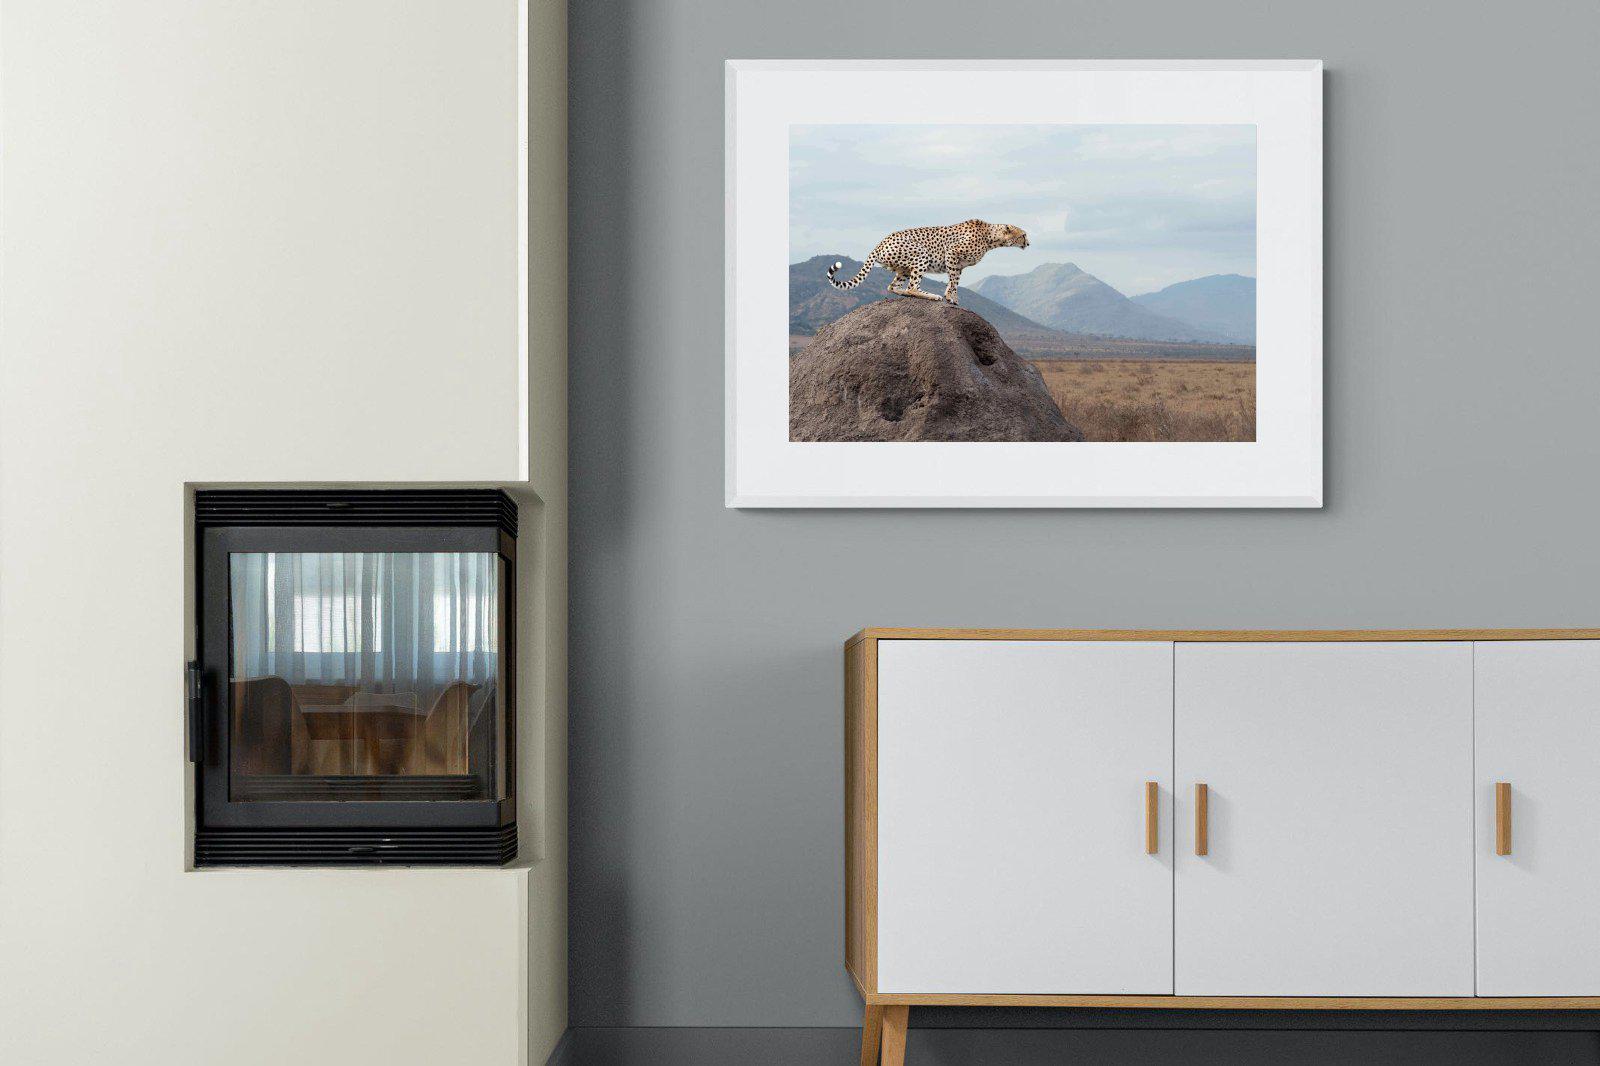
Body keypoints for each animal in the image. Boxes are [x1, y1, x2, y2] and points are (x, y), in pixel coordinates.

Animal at [825, 219, 1029, 305]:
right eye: (1023, 235)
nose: (1028, 243)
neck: (990, 237)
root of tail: (881, 242)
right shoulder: (952, 253)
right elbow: (953, 282)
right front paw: (952, 299)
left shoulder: (958, 265)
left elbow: (953, 281)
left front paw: (950, 296)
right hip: (921, 254)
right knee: (912, 287)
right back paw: (931, 296)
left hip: (903, 268)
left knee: (894, 287)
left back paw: (907, 294)